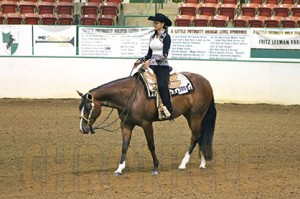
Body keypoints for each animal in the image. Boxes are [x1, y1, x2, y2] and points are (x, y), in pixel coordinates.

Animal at [77, 72, 217, 176]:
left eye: (88, 107)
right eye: (80, 107)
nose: (82, 128)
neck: (130, 96)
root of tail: (206, 82)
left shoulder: (147, 123)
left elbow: (151, 145)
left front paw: (156, 168)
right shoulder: (126, 124)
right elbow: (124, 145)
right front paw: (119, 169)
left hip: (196, 115)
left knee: (194, 137)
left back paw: (183, 164)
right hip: (189, 115)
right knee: (200, 136)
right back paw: (202, 163)